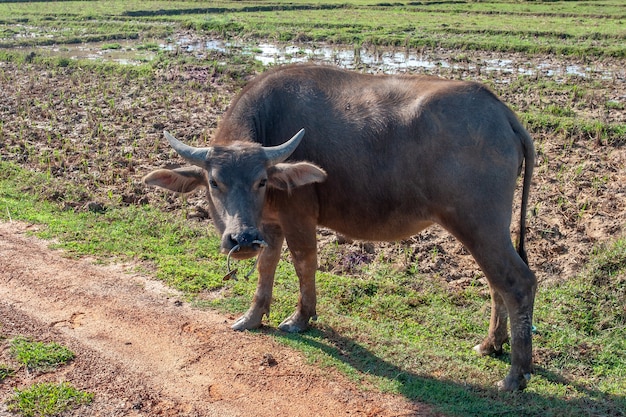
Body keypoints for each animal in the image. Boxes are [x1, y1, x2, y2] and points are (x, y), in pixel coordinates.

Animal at [144, 63, 532, 392]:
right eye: (214, 182)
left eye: (260, 180)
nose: (242, 239)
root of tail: (502, 112)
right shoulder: (269, 224)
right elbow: (266, 266)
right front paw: (253, 317)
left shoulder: (297, 217)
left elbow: (303, 263)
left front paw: (301, 318)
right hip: (486, 231)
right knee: (496, 283)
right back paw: (490, 345)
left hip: (479, 224)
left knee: (517, 282)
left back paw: (516, 375)